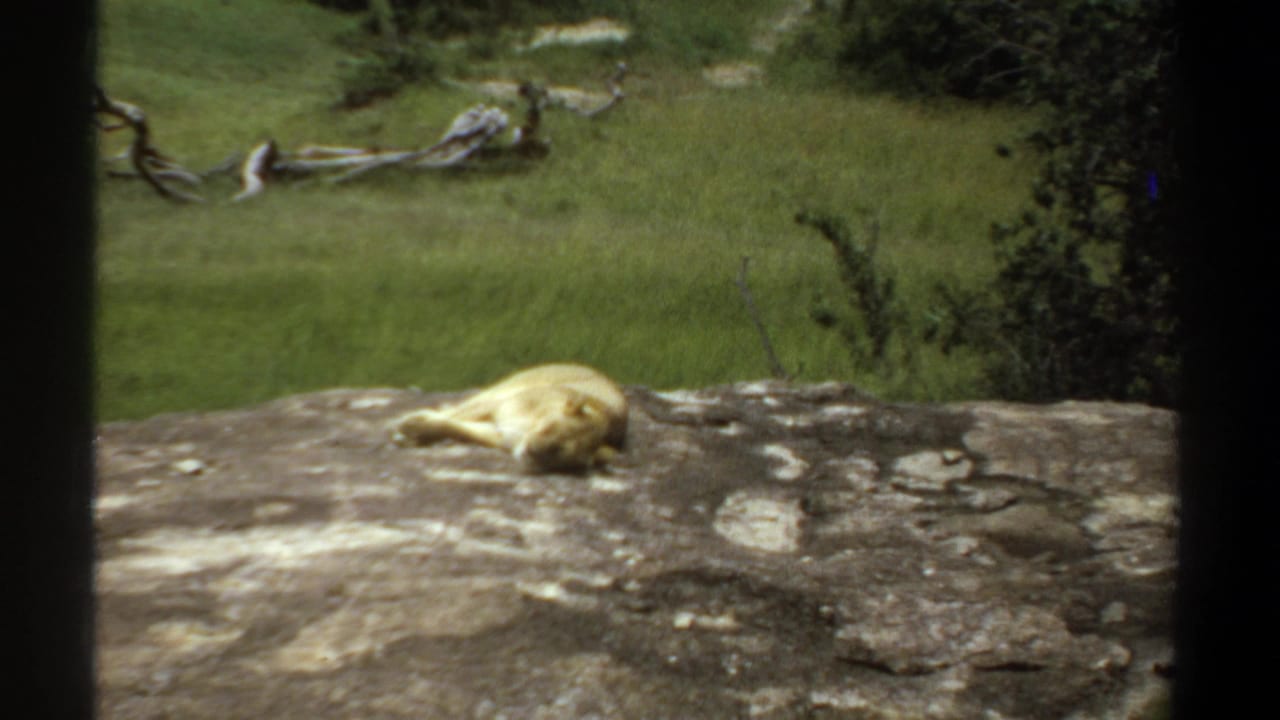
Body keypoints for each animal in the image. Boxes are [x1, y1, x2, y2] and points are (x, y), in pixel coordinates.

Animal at [390, 363, 628, 473]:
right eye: (549, 428)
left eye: (559, 453)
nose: (532, 451)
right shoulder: (499, 404)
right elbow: (454, 418)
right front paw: (409, 427)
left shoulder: (497, 434)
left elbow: (456, 427)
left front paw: (412, 431)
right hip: (503, 388)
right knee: (461, 406)